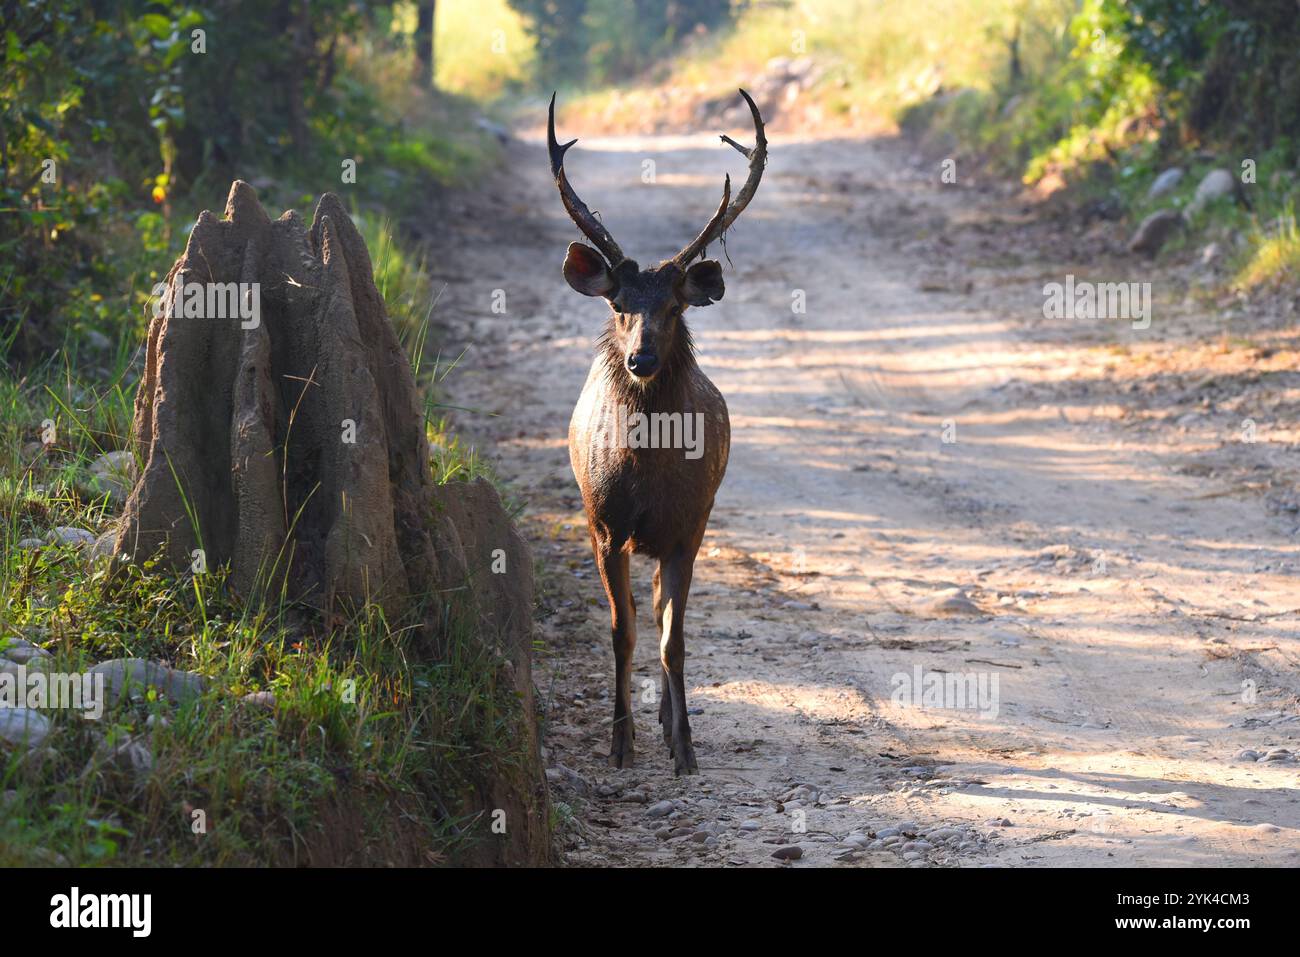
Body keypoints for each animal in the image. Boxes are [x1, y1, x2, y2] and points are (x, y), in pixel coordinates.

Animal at [546, 91, 764, 780]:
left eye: (673, 307)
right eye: (619, 306)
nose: (640, 360)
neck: (646, 476)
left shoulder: (688, 527)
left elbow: (675, 638)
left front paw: (685, 747)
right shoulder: (602, 525)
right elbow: (624, 631)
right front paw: (619, 744)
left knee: (667, 611)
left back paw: (670, 722)